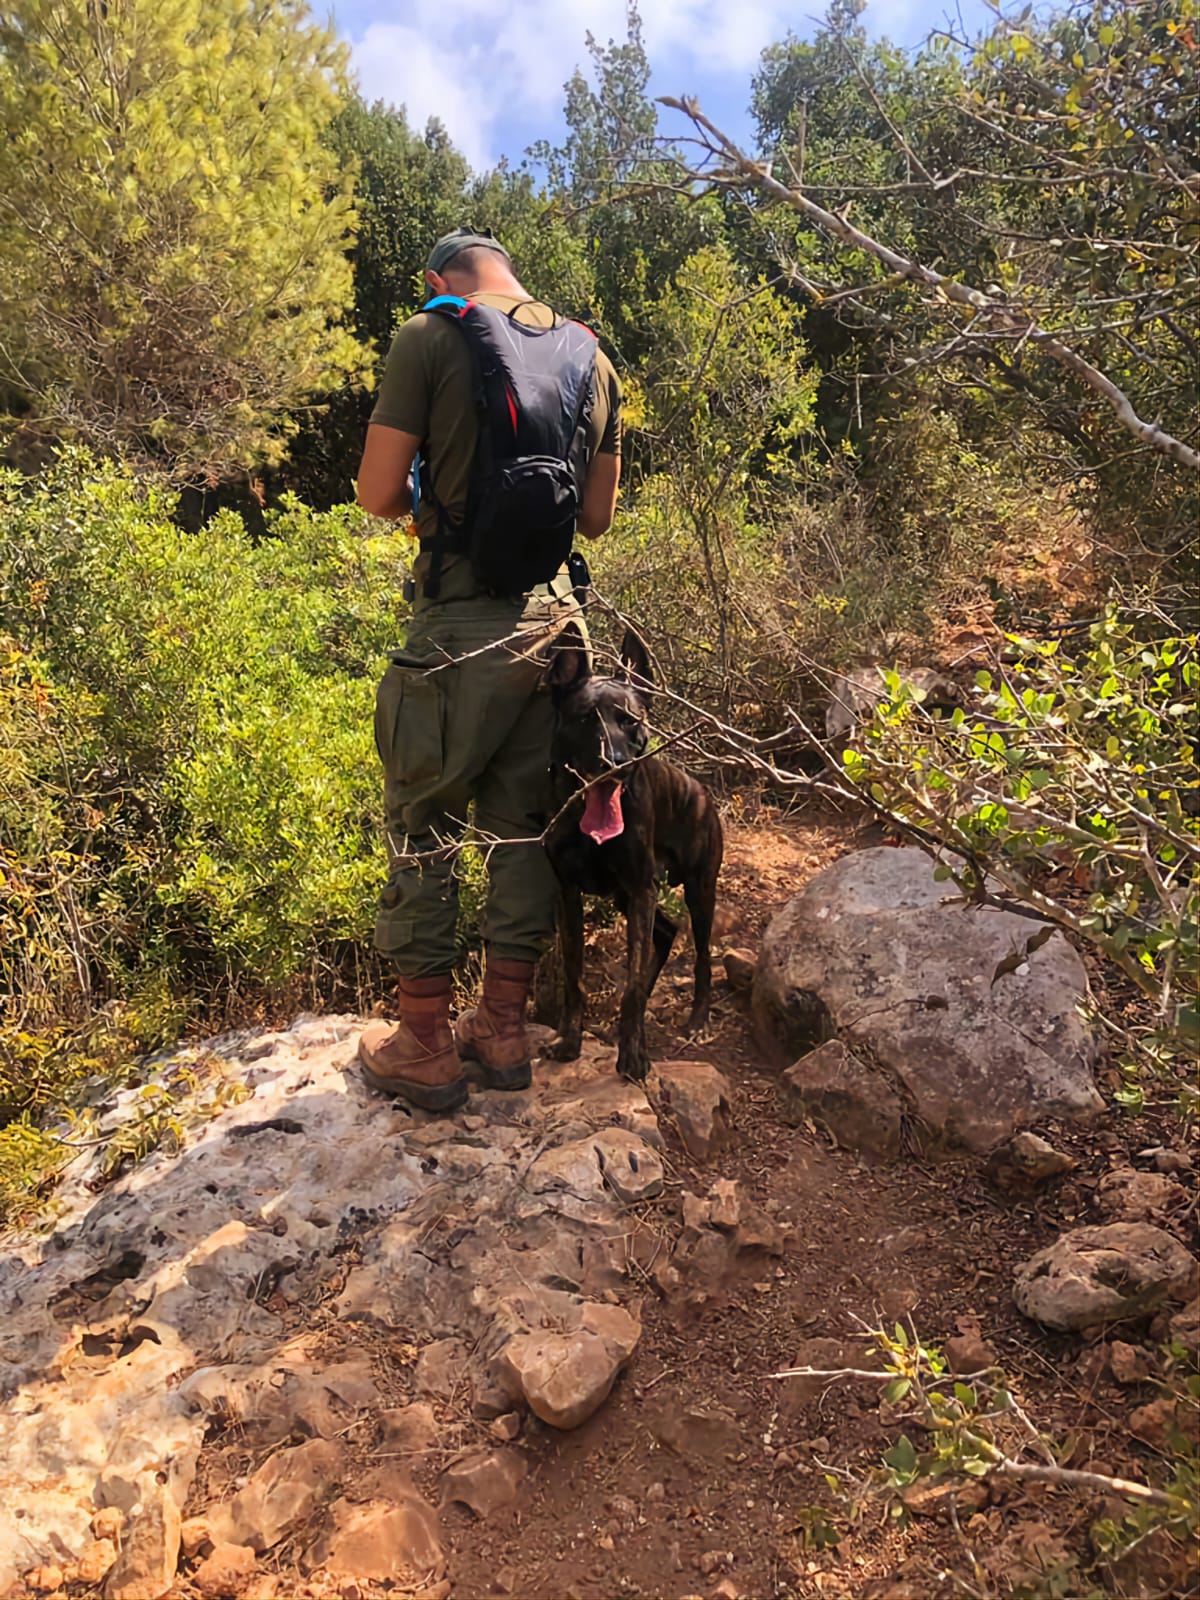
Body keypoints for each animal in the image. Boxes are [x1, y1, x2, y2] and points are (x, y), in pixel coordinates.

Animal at [544, 617, 723, 1081]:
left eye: (629, 721)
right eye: (584, 719)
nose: (615, 763)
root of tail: (701, 790)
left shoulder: (642, 887)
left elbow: (631, 988)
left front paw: (634, 1054)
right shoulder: (568, 893)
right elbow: (575, 973)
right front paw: (569, 1040)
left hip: (698, 891)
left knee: (700, 953)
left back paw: (698, 1017)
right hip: (629, 898)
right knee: (665, 934)